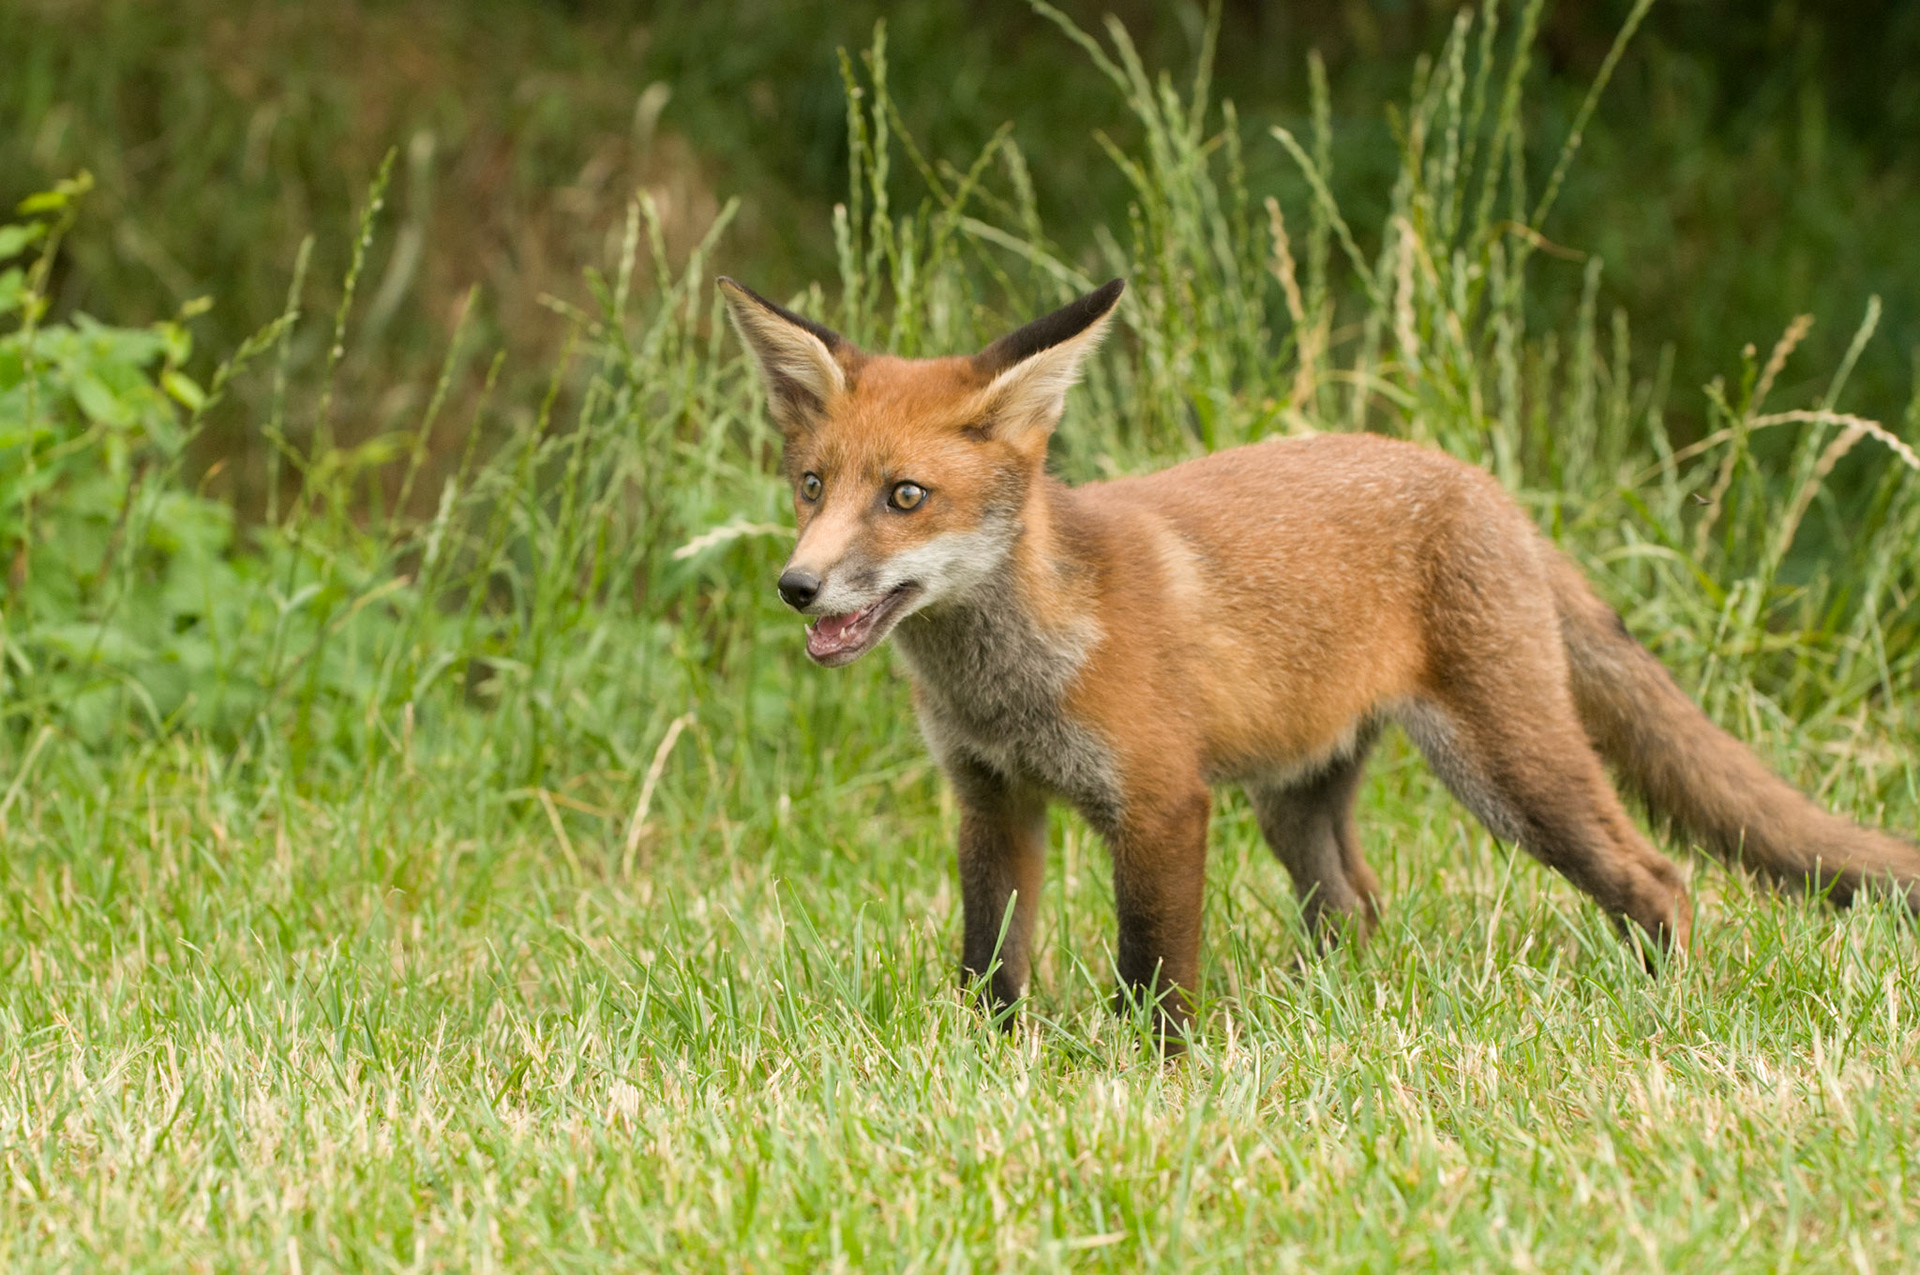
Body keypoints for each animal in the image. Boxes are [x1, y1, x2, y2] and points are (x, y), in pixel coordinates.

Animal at [718, 273, 1920, 1042]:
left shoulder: (1162, 803)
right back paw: (1320, 1008)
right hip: (1294, 795)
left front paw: (1159, 1074)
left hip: (1510, 774)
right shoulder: (992, 798)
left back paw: (1665, 1001)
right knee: (1355, 903)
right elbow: (992, 961)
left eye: (905, 497)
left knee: (1656, 876)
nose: (797, 586)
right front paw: (989, 1062)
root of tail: (1483, 484)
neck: (1011, 683)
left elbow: (1153, 969)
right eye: (813, 486)